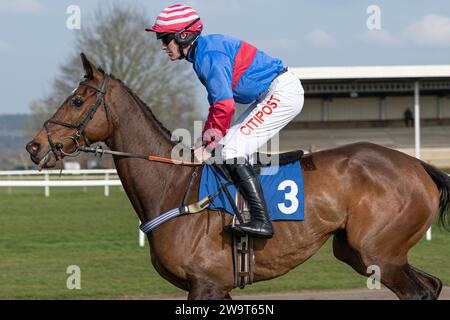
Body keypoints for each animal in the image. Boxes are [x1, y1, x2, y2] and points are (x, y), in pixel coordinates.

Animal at [27, 53, 450, 300]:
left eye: (76, 100)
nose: (34, 146)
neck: (173, 187)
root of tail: (419, 165)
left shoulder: (205, 284)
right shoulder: (215, 287)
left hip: (379, 253)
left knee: (419, 291)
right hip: (359, 251)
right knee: (431, 286)